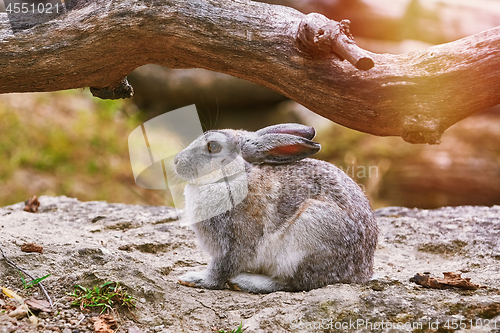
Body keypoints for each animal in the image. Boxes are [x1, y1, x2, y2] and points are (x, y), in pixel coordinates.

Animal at [174, 123, 376, 292]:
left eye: (213, 146)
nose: (176, 161)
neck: (236, 175)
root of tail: (361, 273)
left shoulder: (233, 244)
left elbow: (220, 270)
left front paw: (194, 279)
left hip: (308, 234)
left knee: (295, 283)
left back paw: (245, 282)